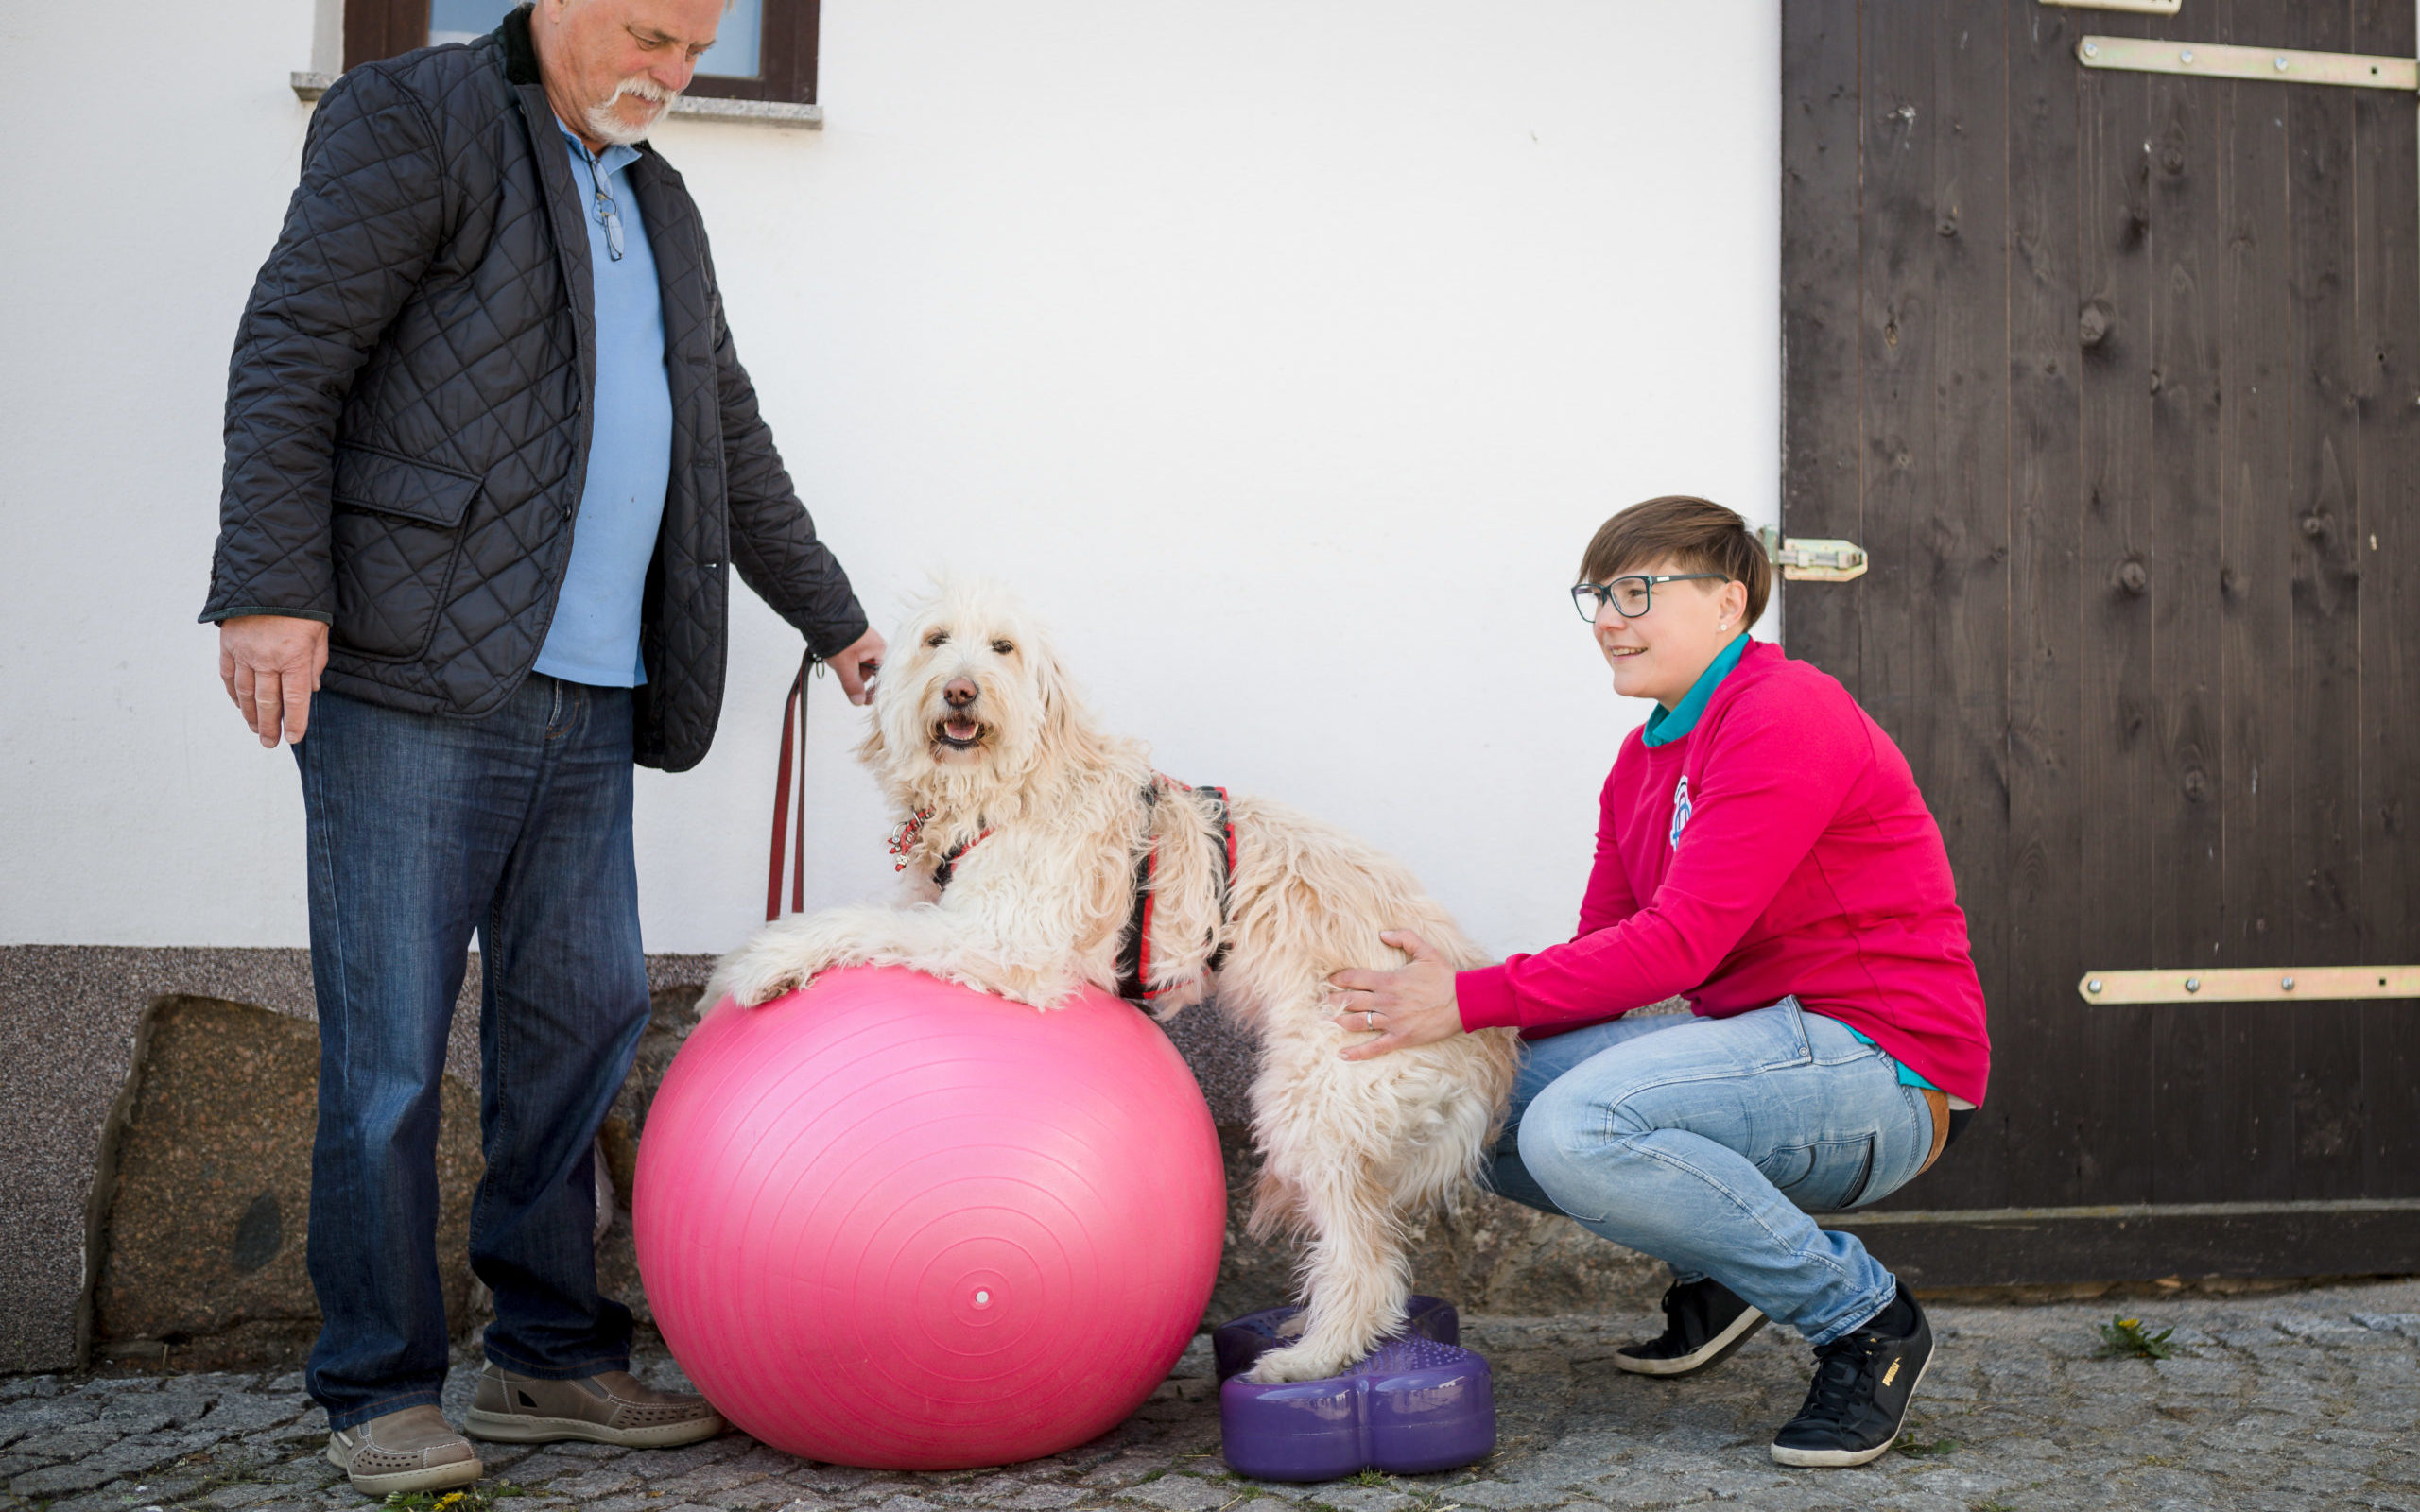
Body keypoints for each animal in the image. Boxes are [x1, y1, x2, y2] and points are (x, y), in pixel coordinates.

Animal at [706, 577, 1519, 1383]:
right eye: (936, 641)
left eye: (1003, 647)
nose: (961, 690)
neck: (1005, 787)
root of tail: (1484, 1035)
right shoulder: (950, 908)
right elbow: (882, 914)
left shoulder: (1004, 941)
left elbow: (863, 924)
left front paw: (763, 961)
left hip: (1314, 1098)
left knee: (1367, 1264)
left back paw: (1310, 1356)